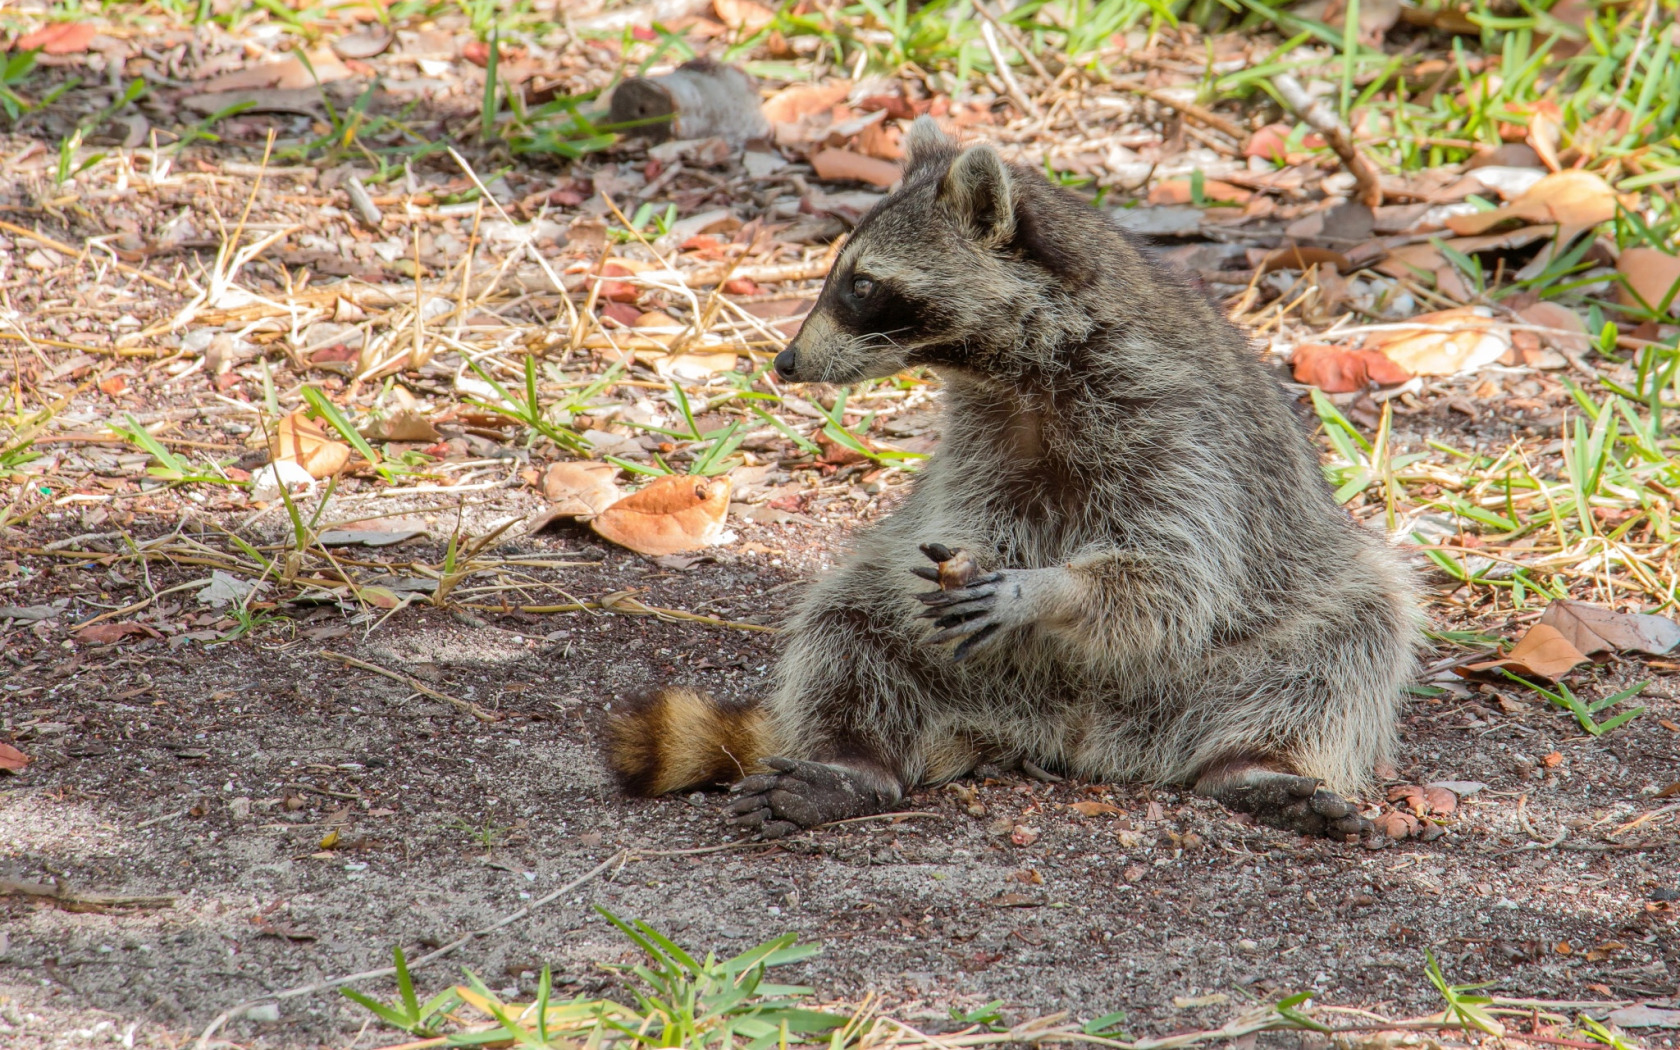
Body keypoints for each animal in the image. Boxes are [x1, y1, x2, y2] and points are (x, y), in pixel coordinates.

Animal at [604, 118, 1417, 840]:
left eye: (861, 285)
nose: (786, 362)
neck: (1025, 364)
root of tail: (1078, 734)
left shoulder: (1177, 422)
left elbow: (1177, 575)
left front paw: (1052, 590)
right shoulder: (982, 432)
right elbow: (961, 521)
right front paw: (992, 565)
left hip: (1239, 647)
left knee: (1352, 636)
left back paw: (1255, 761)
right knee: (851, 621)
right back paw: (850, 759)